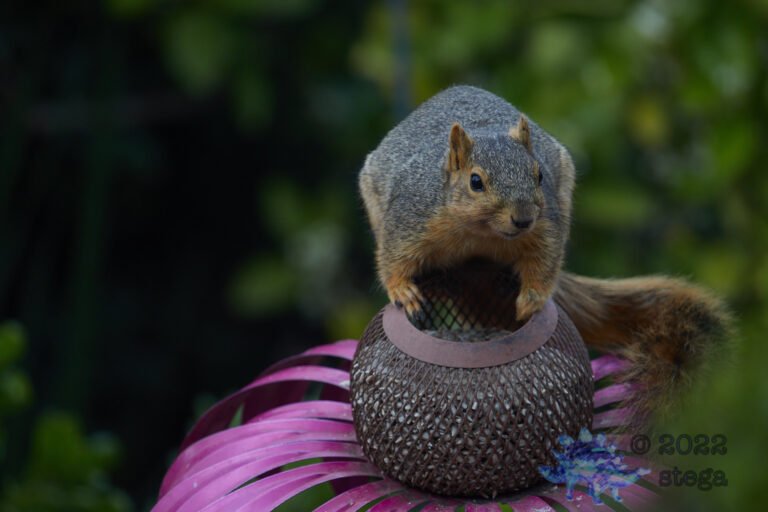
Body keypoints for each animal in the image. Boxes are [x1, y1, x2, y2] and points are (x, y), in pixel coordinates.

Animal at [359, 85, 732, 426]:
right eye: (476, 182)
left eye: (538, 175)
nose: (523, 218)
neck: (480, 234)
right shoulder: (410, 220)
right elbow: (393, 260)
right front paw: (404, 292)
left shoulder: (545, 229)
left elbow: (543, 264)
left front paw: (531, 300)